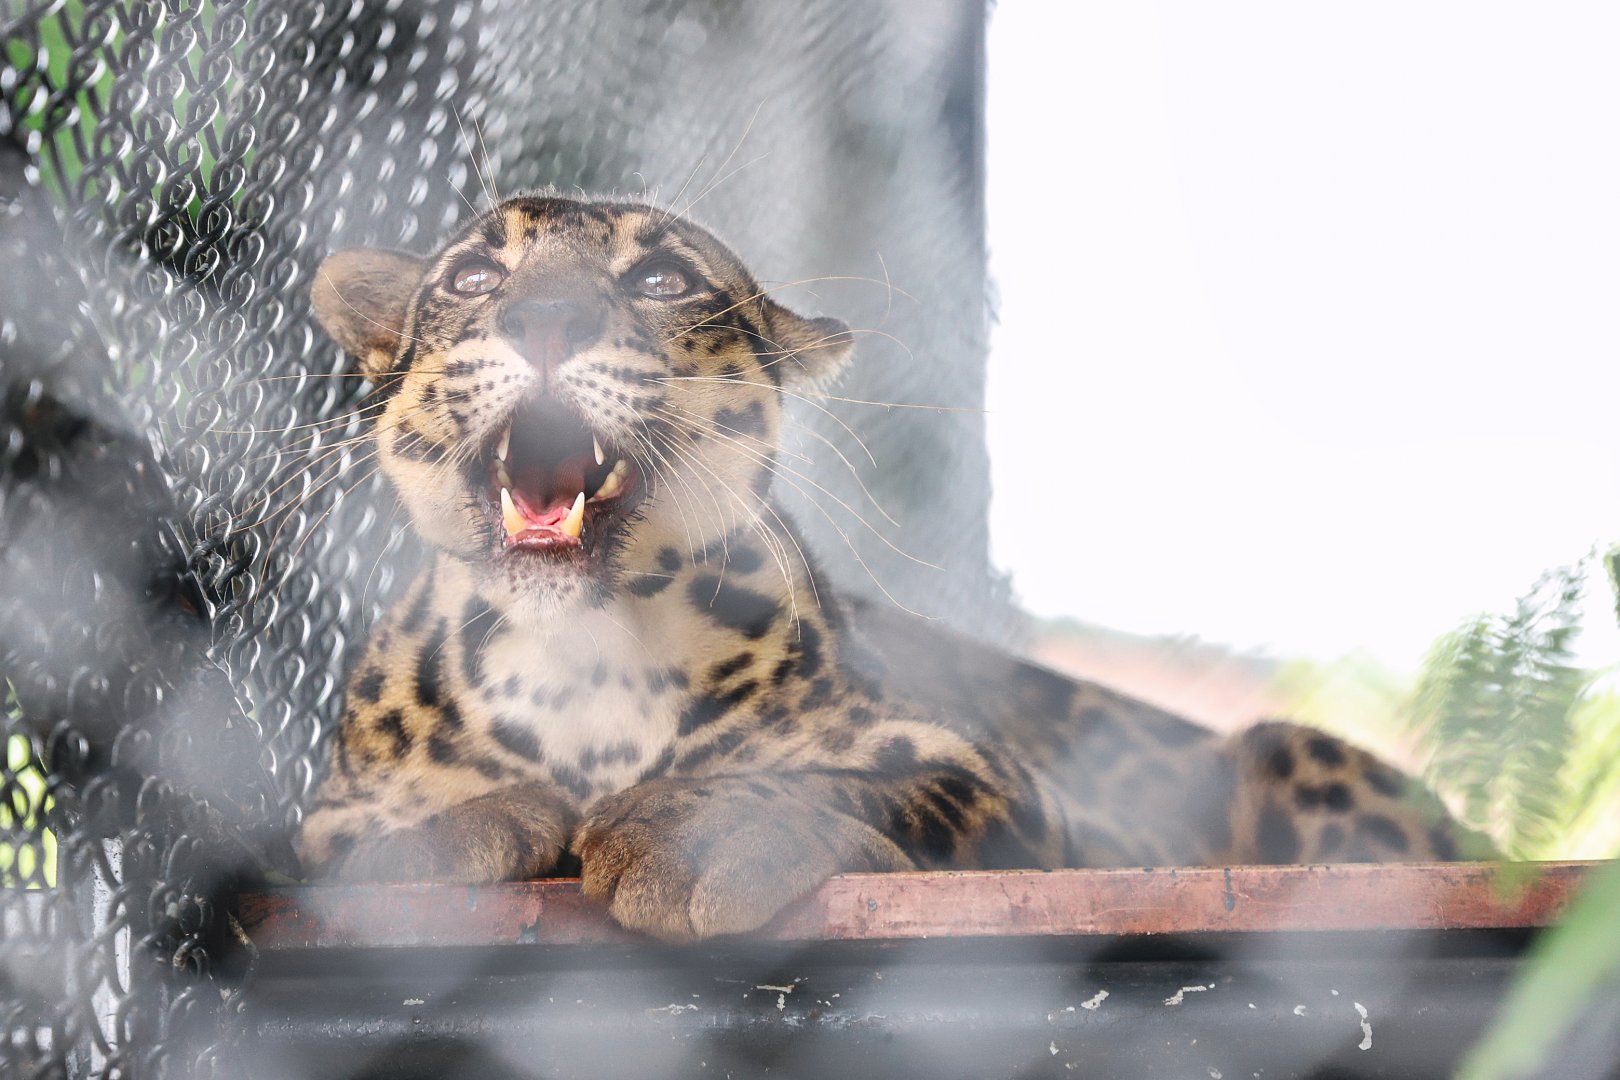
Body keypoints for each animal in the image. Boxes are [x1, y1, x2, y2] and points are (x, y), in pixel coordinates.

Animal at [296, 194, 1487, 942]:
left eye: (661, 276)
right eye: (472, 273)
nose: (547, 316)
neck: (584, 654)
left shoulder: (1029, 797)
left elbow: (863, 777)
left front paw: (695, 830)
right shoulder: (327, 810)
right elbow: (351, 841)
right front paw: (444, 836)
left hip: (1289, 748)